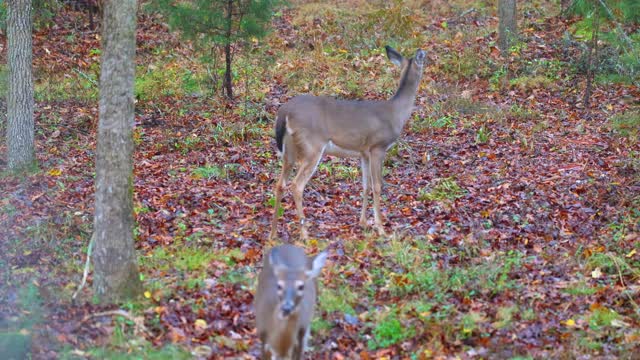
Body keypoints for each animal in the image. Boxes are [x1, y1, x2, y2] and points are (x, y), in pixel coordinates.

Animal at [268, 46, 424, 240]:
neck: (396, 112)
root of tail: (285, 113)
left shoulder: (364, 152)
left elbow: (365, 186)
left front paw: (363, 223)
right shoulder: (377, 147)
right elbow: (377, 185)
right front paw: (381, 229)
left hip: (289, 149)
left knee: (280, 184)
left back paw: (273, 233)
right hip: (312, 147)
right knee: (297, 186)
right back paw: (305, 235)